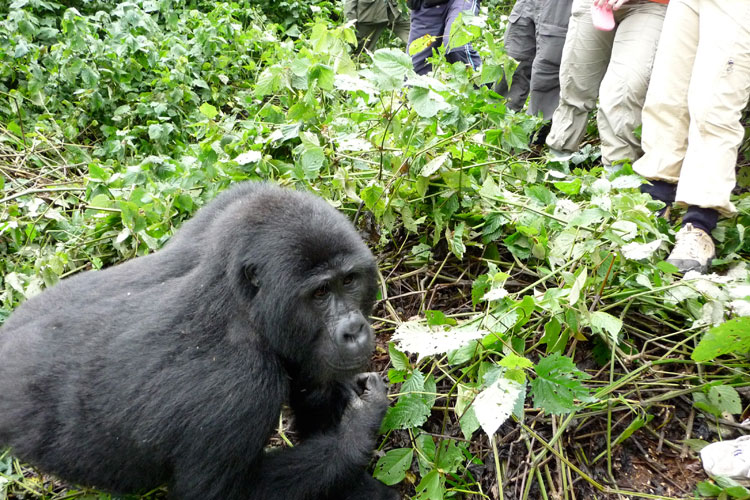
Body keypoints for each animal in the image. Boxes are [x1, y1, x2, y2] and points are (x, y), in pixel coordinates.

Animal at [0, 181, 400, 500]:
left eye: (349, 281)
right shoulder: (238, 389)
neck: (240, 302)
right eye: (320, 293)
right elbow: (216, 494)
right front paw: (359, 427)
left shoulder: (235, 202)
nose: (353, 329)